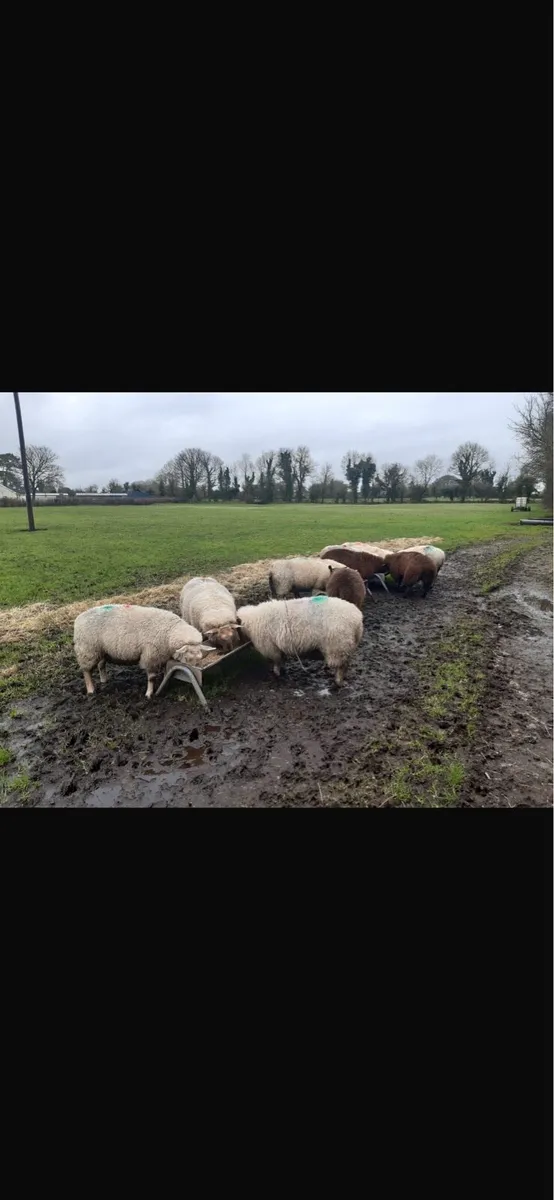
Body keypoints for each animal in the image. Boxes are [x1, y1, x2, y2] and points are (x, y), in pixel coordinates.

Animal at [74, 604, 215, 698]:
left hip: (100, 650)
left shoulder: (160, 656)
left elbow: (166, 672)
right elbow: (151, 678)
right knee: (86, 671)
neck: (170, 631)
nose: (195, 674)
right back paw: (91, 690)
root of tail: (79, 618)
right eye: (188, 657)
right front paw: (149, 694)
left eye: (200, 657)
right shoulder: (151, 656)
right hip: (87, 649)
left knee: (101, 664)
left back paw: (104, 680)